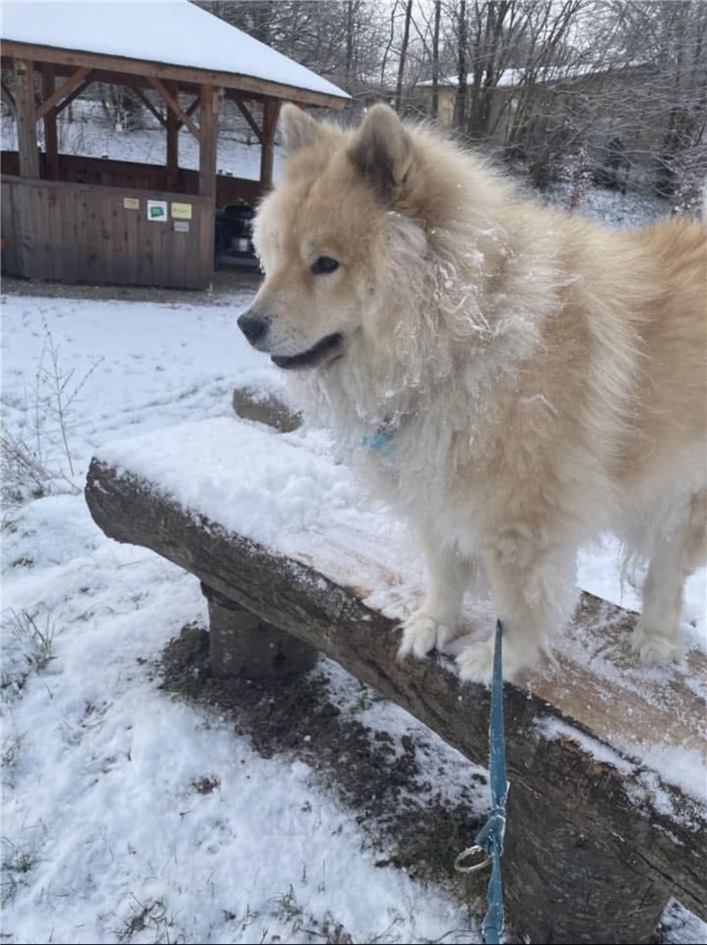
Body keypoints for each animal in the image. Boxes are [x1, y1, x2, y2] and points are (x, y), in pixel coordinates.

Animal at [238, 102, 707, 683]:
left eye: (325, 264)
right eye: (276, 256)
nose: (246, 324)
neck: (465, 336)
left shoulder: (521, 521)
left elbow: (518, 605)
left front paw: (499, 660)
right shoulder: (435, 492)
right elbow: (445, 572)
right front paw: (433, 625)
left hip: (681, 490)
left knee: (667, 570)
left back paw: (654, 638)